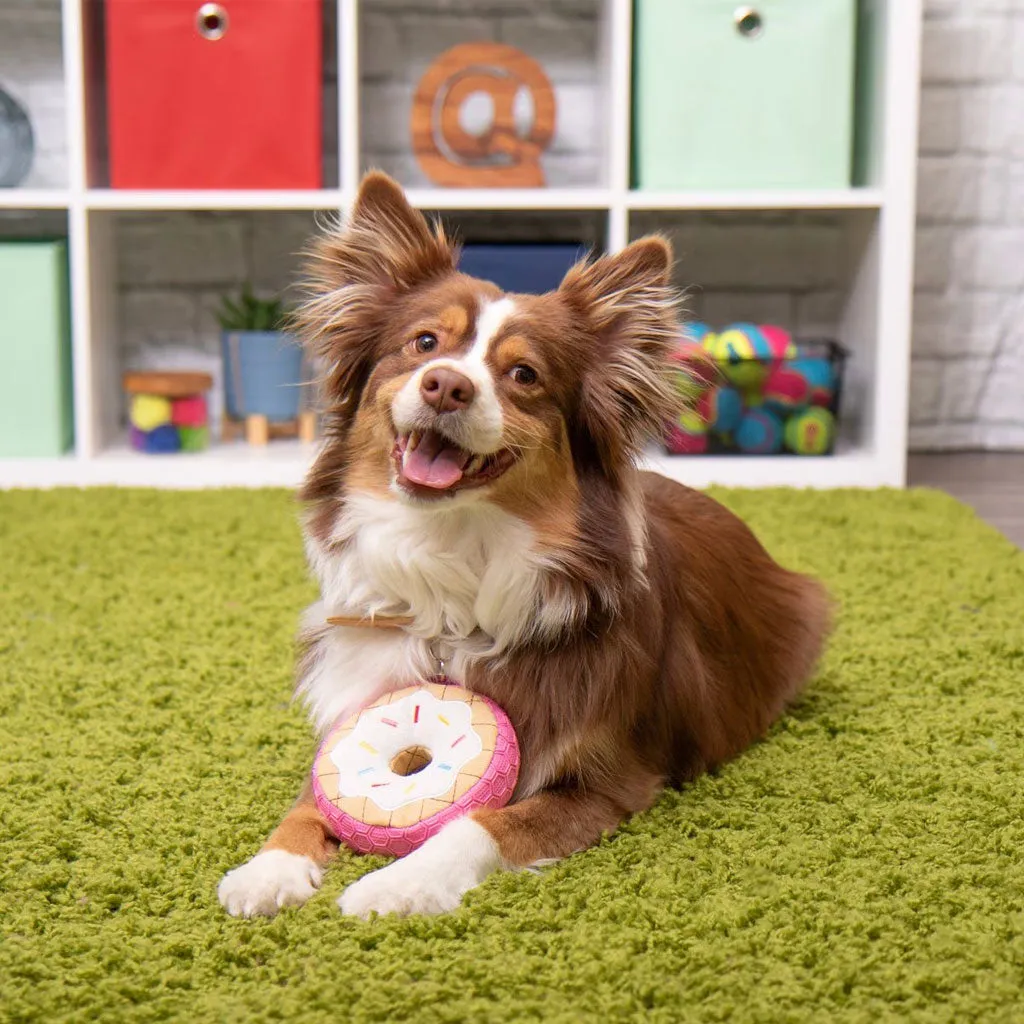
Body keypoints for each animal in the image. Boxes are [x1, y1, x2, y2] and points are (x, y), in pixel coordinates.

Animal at [216, 174, 831, 921]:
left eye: (525, 375)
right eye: (424, 342)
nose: (446, 384)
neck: (449, 565)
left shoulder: (610, 782)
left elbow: (478, 823)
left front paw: (396, 883)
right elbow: (305, 803)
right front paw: (267, 868)